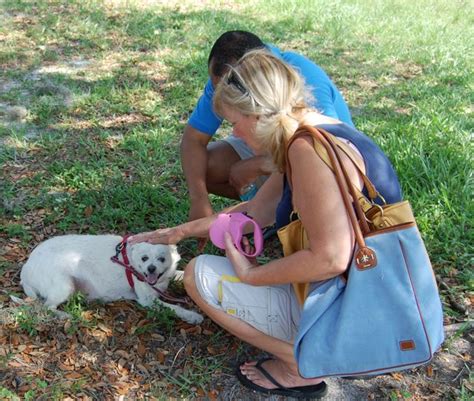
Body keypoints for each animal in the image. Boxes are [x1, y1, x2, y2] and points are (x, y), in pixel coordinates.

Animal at [20, 233, 203, 324]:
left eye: (162, 259)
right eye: (144, 258)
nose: (151, 268)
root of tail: (26, 269)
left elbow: (182, 273)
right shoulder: (148, 301)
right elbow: (175, 308)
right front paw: (192, 316)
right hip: (65, 285)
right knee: (47, 306)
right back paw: (64, 316)